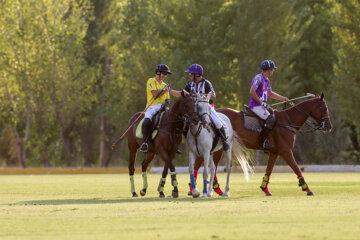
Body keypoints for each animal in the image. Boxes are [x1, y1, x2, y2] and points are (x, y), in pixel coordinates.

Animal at [191, 93, 332, 196]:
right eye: (325, 108)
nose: (329, 127)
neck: (288, 121)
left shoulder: (275, 152)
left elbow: (269, 169)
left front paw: (265, 189)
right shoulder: (286, 151)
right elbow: (296, 168)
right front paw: (307, 189)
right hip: (217, 147)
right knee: (202, 164)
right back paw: (203, 189)